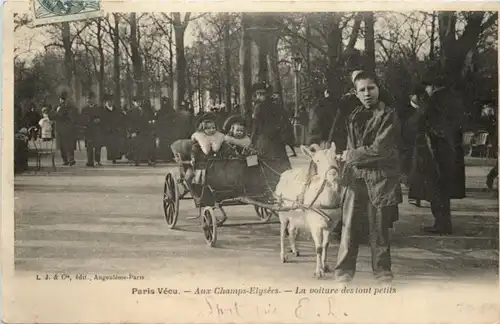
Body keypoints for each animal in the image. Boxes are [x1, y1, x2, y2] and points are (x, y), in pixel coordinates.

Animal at [274, 142, 344, 278]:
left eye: (335, 157)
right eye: (317, 160)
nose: (333, 174)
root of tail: (284, 174)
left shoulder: (331, 225)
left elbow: (326, 245)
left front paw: (325, 267)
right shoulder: (315, 224)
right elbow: (318, 247)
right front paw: (318, 271)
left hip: (295, 215)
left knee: (291, 230)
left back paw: (295, 250)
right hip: (282, 212)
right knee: (282, 231)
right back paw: (283, 256)